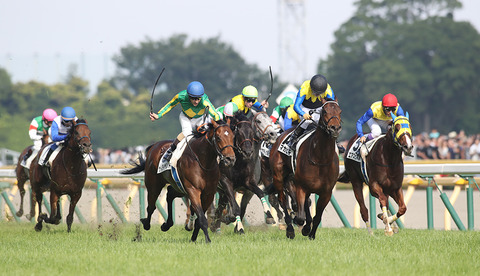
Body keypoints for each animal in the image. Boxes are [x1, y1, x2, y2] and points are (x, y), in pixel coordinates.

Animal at [270, 99, 342, 239]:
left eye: (340, 111)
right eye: (324, 111)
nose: (335, 128)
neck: (320, 158)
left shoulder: (326, 192)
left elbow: (317, 216)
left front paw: (311, 234)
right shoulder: (301, 187)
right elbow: (299, 217)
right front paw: (301, 227)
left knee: (306, 204)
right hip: (278, 177)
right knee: (283, 201)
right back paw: (290, 229)